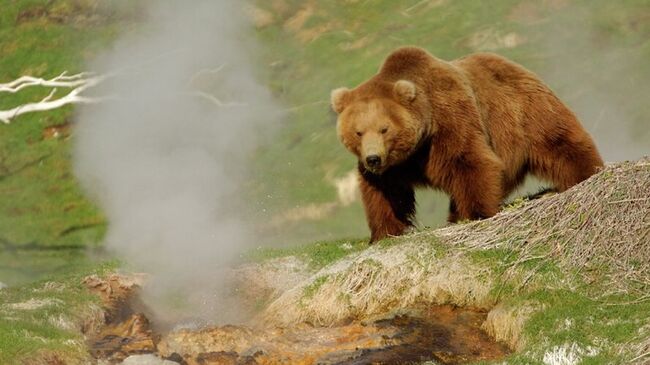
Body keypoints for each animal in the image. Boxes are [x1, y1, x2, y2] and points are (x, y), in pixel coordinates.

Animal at [330, 47, 604, 243]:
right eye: (358, 132)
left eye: (384, 129)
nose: (373, 159)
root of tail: (511, 63)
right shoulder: (395, 166)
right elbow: (385, 193)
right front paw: (384, 231)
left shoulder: (448, 121)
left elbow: (468, 161)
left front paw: (476, 213)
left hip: (524, 112)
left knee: (558, 141)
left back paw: (586, 171)